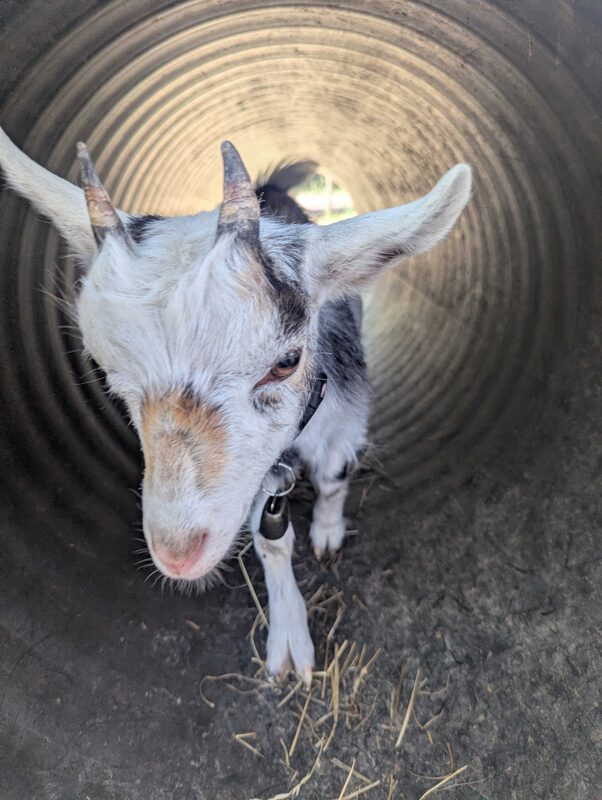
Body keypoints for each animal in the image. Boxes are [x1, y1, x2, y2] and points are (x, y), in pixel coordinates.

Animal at [0, 127, 471, 684]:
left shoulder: (344, 416)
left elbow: (335, 478)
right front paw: (289, 641)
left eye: (287, 361)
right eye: (104, 369)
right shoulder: (250, 476)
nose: (178, 554)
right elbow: (270, 538)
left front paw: (328, 533)